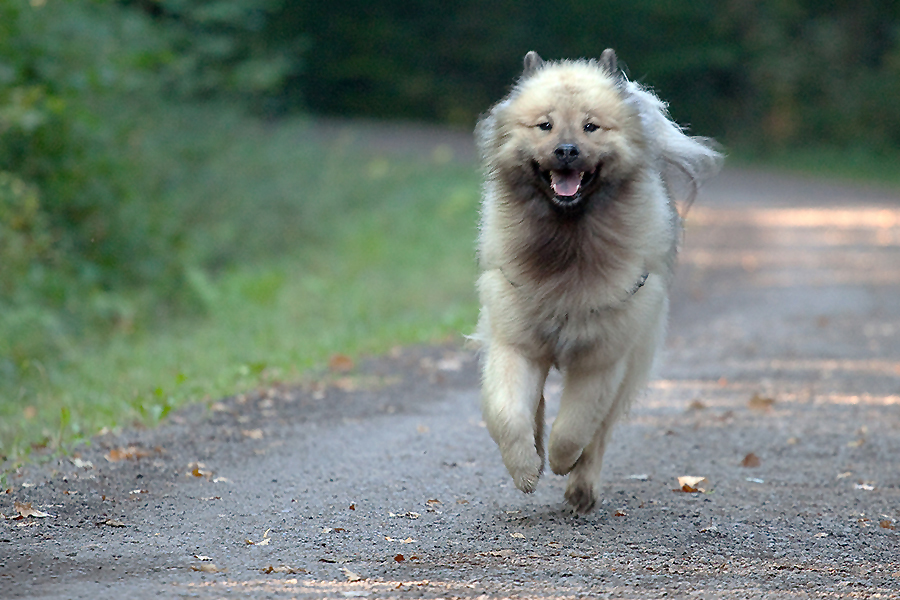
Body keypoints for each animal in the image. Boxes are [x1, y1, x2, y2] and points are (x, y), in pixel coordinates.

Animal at [474, 49, 720, 512]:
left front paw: (560, 462)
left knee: (600, 433)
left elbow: (575, 427)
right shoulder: (516, 344)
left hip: (631, 362)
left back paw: (581, 489)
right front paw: (525, 469)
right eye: (546, 125)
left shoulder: (601, 358)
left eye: (591, 126)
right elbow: (508, 414)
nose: (567, 150)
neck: (568, 240)